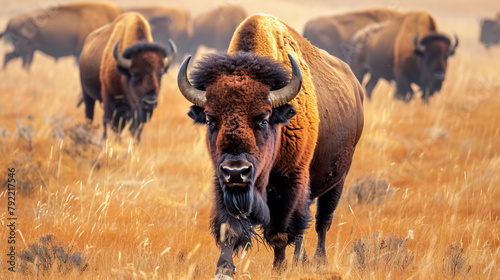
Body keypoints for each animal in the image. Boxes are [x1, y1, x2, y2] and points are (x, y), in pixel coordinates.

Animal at [79, 12, 176, 141]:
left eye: (160, 74)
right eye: (135, 74)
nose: (150, 103)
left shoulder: (135, 110)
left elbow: (135, 128)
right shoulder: (110, 99)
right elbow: (114, 124)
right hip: (87, 94)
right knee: (90, 116)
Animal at [177, 13, 364, 278]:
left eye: (264, 119)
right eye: (211, 120)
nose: (236, 171)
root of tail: (356, 88)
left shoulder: (291, 180)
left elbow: (279, 232)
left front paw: (279, 268)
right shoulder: (222, 182)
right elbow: (229, 228)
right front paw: (224, 269)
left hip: (338, 179)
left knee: (322, 222)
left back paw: (319, 261)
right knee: (303, 228)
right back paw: (301, 260)